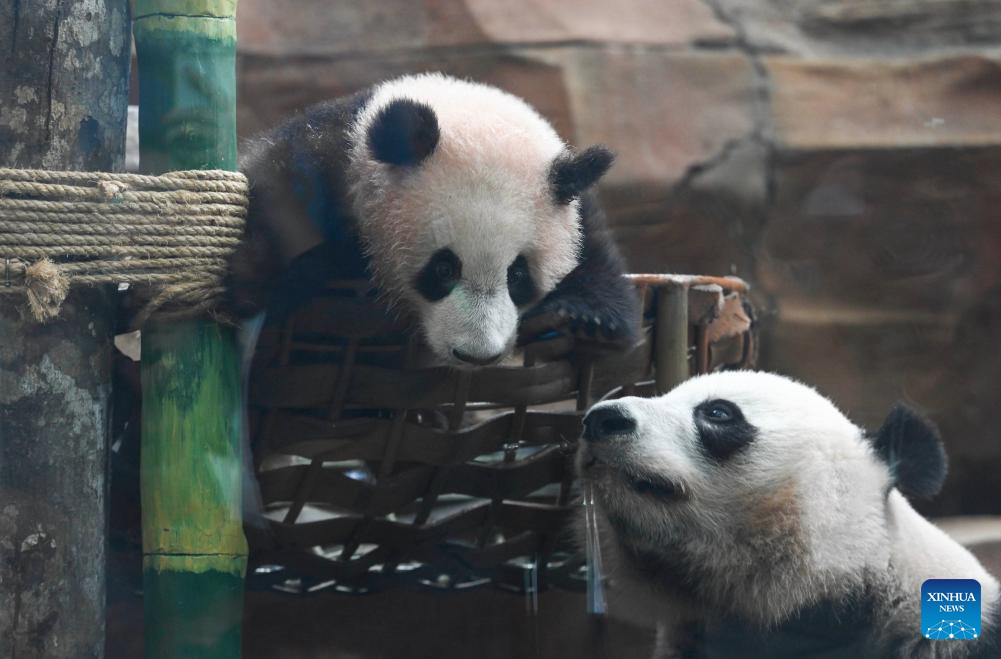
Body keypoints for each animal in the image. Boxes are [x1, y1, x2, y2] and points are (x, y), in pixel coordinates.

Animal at [227, 72, 639, 366]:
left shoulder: (580, 213)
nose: (476, 356)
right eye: (443, 268)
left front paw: (588, 320)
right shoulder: (316, 169)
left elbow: (597, 266)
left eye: (518, 276)